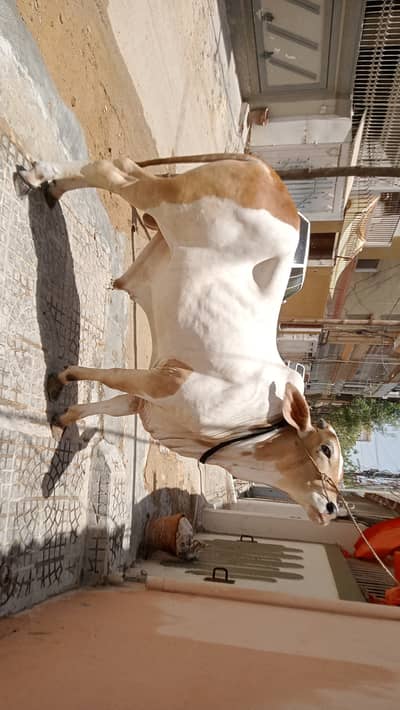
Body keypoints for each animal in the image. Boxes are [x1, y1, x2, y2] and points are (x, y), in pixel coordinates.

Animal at [16, 156, 343, 525]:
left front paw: (63, 421)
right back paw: (37, 178)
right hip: (168, 202)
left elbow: (105, 406)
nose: (332, 509)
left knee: (123, 169)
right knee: (113, 171)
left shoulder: (146, 402)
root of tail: (267, 172)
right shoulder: (165, 381)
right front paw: (60, 378)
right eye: (326, 449)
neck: (249, 422)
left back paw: (54, 188)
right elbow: (109, 375)